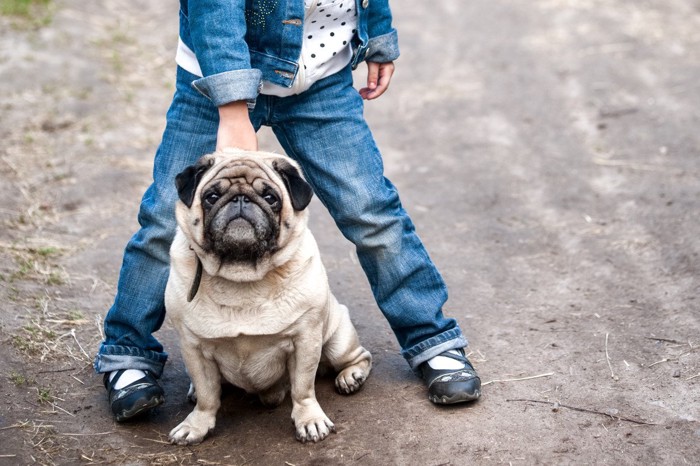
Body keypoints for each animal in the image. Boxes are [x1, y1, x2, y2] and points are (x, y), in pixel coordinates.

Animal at [165, 148, 372, 444]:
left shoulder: (306, 338)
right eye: (211, 197)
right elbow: (206, 395)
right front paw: (196, 424)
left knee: (358, 356)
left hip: (337, 338)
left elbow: (303, 389)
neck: (242, 275)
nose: (241, 198)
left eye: (270, 198)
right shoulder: (192, 347)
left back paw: (351, 376)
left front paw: (310, 420)